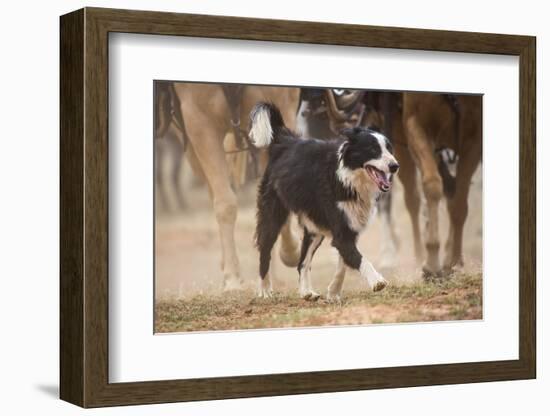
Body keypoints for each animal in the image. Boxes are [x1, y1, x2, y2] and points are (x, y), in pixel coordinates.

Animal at [251, 102, 402, 300]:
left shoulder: (349, 228)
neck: (349, 179)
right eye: (373, 150)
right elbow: (359, 259)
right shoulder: (341, 231)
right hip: (272, 214)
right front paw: (376, 281)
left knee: (302, 263)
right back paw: (265, 289)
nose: (395, 166)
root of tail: (285, 141)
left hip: (315, 226)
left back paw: (307, 292)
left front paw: (333, 292)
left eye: (390, 149)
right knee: (265, 251)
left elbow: (344, 263)